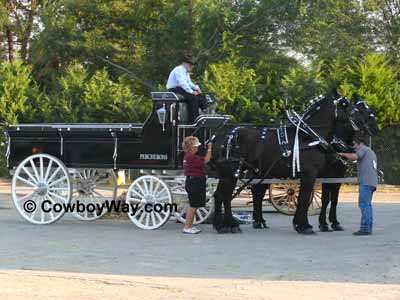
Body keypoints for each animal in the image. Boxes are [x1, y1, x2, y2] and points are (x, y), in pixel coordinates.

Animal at [211, 95, 354, 233]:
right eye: (346, 107)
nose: (355, 128)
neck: (308, 136)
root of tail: (219, 136)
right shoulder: (310, 174)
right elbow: (304, 200)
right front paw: (304, 226)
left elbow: (305, 199)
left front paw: (299, 224)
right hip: (230, 173)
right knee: (225, 196)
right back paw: (230, 224)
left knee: (221, 195)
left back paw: (221, 225)